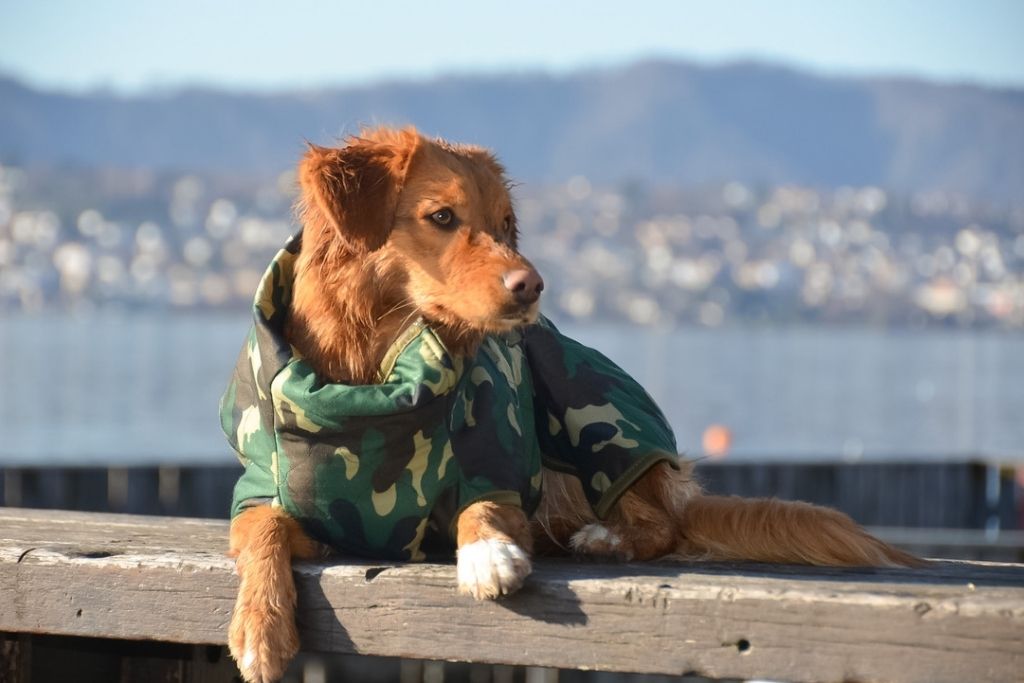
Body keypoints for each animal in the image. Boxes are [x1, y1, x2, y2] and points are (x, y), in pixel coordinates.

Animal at [220, 127, 917, 683]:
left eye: (506, 224)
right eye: (441, 216)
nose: (533, 286)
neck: (378, 372)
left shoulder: (500, 462)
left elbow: (485, 503)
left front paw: (487, 553)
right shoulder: (269, 495)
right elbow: (264, 530)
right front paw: (259, 627)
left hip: (597, 421)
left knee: (662, 524)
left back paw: (605, 537)